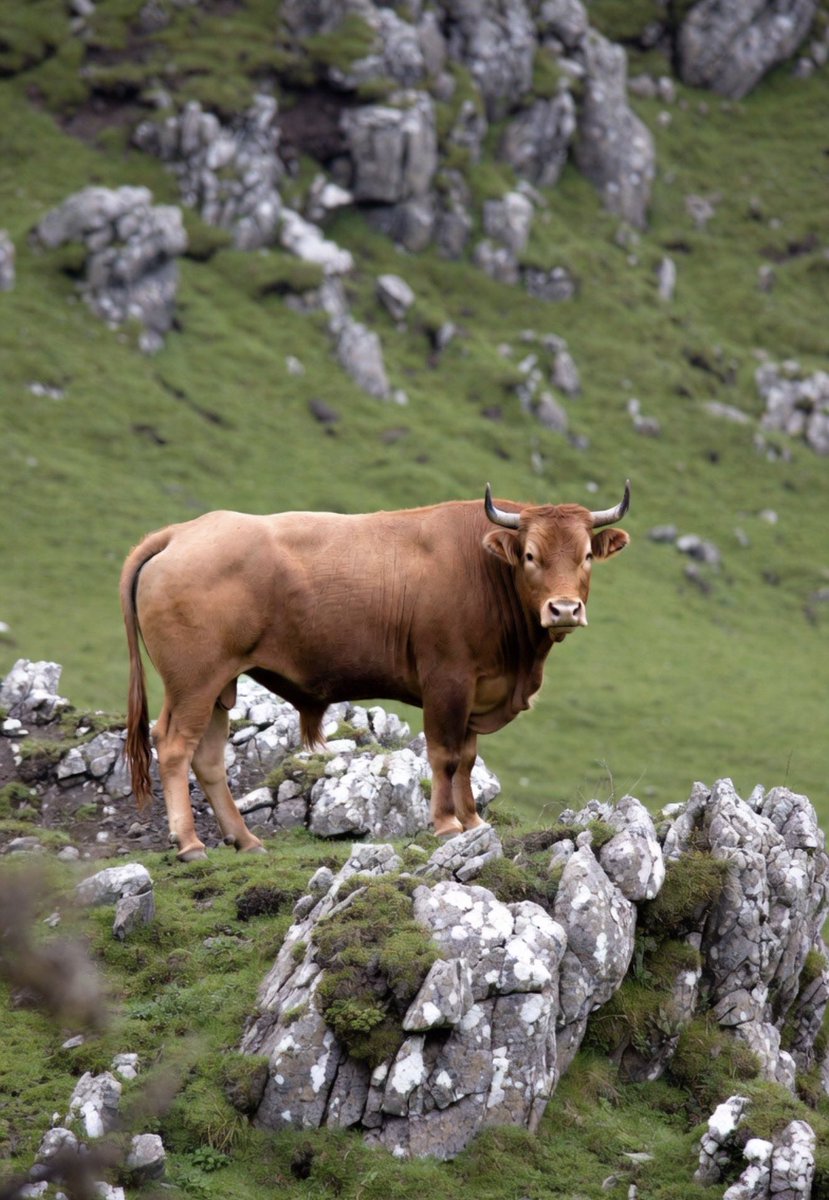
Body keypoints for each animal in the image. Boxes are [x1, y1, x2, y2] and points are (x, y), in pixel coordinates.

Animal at [120, 482, 630, 860]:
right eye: (529, 556)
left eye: (586, 555)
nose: (564, 609)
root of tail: (182, 533)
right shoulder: (447, 681)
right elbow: (445, 756)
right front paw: (447, 824)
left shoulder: (476, 689)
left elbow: (467, 758)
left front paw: (472, 820)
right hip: (194, 682)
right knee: (174, 746)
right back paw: (190, 843)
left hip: (220, 685)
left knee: (207, 758)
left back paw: (245, 840)